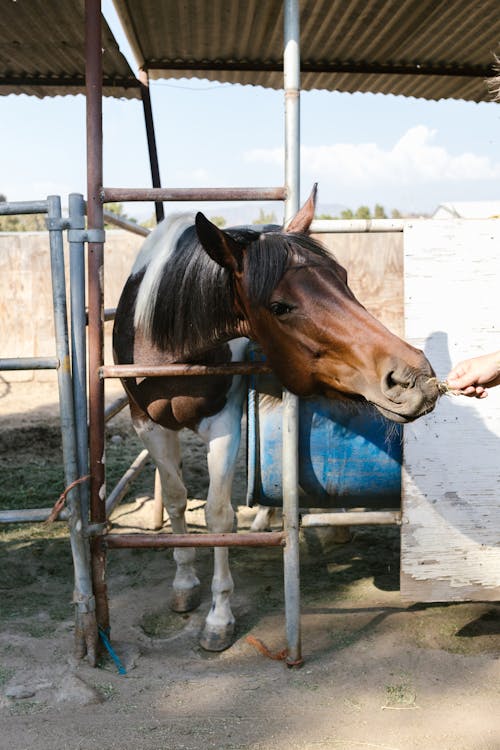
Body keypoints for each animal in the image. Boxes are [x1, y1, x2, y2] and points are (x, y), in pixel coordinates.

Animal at [112, 188, 438, 652]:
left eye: (344, 278)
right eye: (280, 306)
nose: (415, 378)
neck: (167, 343)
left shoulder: (224, 424)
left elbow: (218, 515)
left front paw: (219, 616)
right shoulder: (147, 424)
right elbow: (176, 499)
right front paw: (184, 582)